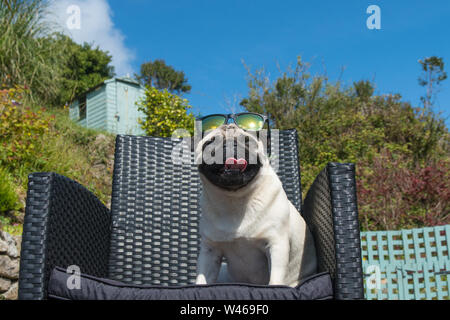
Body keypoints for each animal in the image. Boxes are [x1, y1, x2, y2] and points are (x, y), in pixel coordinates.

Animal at [195, 123, 318, 288]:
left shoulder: (276, 244)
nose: (231, 145)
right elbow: (202, 279)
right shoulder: (210, 250)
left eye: (247, 141)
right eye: (209, 143)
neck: (234, 199)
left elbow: (275, 279)